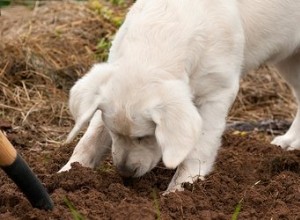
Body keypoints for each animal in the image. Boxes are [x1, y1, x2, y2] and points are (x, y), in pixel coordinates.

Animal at [60, 0, 300, 192]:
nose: (125, 172)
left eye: (146, 136)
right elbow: (90, 139)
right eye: (114, 133)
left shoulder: (218, 93)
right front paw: (66, 175)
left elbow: (199, 147)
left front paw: (179, 191)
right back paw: (289, 141)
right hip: (289, 61)